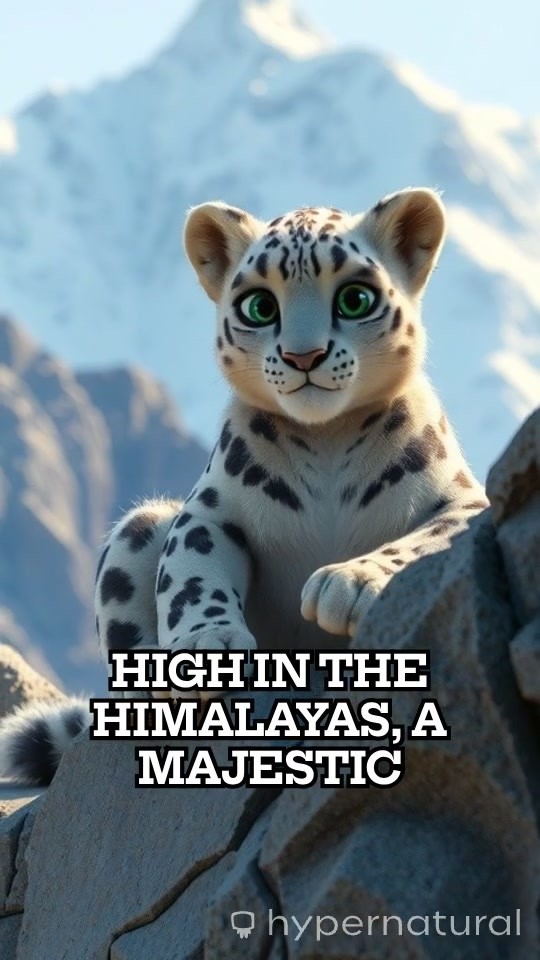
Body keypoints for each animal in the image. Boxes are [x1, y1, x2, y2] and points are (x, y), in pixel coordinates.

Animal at [0, 187, 488, 783]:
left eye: (355, 298)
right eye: (260, 306)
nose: (304, 356)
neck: (327, 442)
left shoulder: (462, 498)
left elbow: (425, 538)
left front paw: (344, 584)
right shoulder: (213, 507)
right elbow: (191, 569)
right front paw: (205, 645)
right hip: (140, 526)